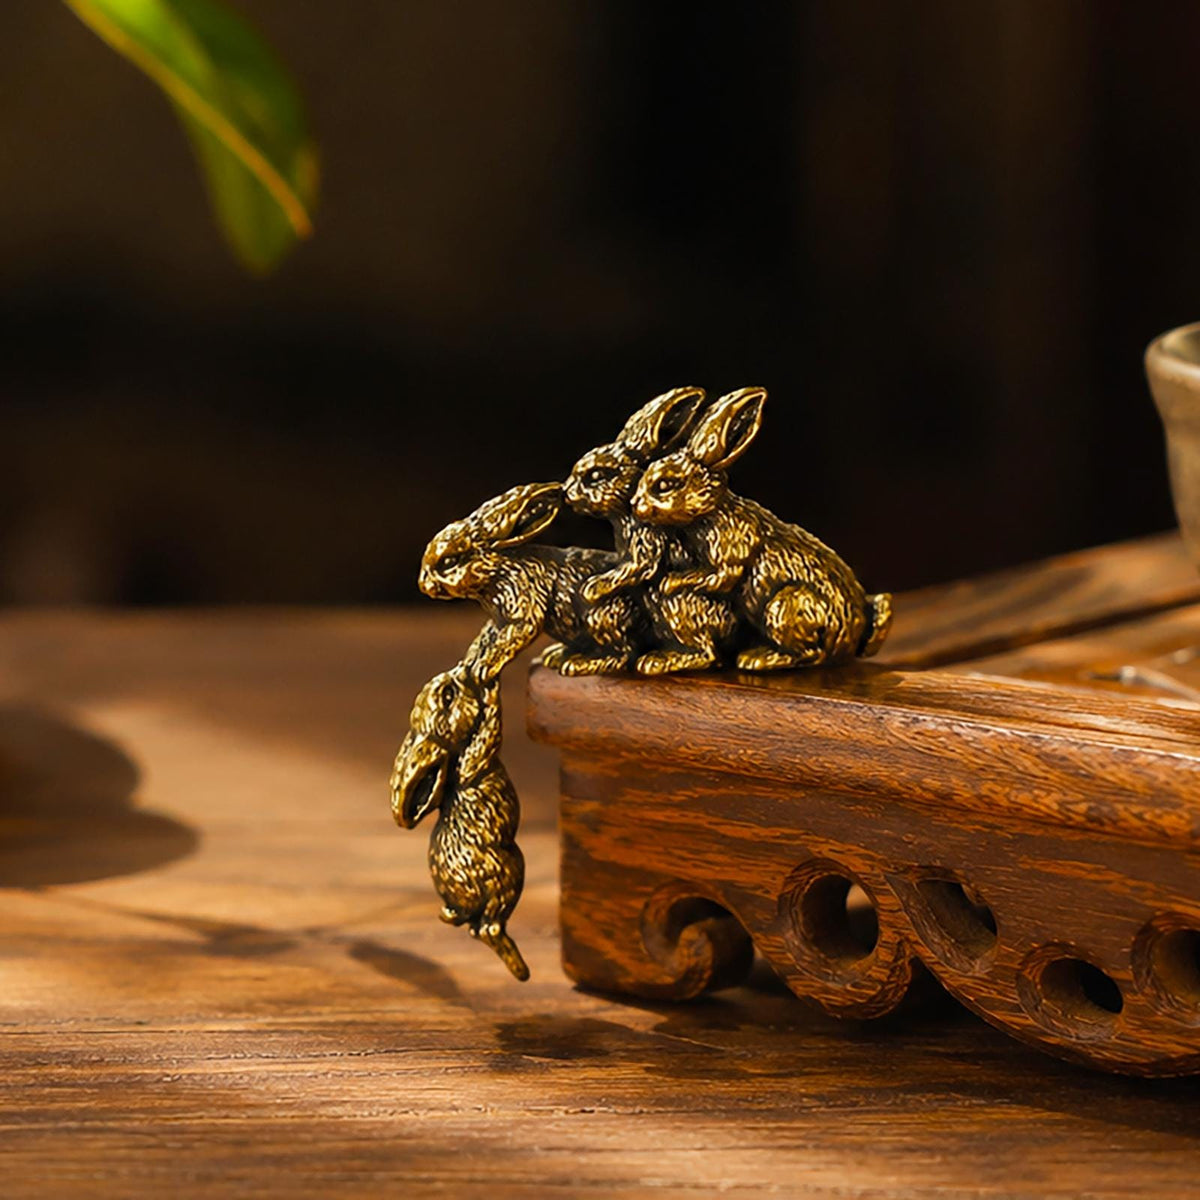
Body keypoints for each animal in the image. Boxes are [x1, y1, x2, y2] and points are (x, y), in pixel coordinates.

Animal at [391, 661, 529, 979]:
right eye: (448, 696)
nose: (462, 668)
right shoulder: (473, 760)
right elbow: (490, 725)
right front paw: (489, 686)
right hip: (509, 872)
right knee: (489, 927)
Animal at [419, 481, 642, 678]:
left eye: (449, 561)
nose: (423, 585)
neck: (497, 571)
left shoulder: (521, 606)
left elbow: (511, 637)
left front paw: (483, 668)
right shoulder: (498, 620)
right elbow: (486, 638)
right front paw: (471, 660)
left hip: (601, 616)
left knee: (623, 655)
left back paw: (579, 664)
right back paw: (557, 656)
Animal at [564, 387, 740, 672]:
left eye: (596, 476)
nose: (565, 492)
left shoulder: (646, 538)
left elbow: (638, 566)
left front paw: (592, 588)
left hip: (672, 605)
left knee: (705, 653)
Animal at [630, 387, 893, 672]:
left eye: (666, 484)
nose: (635, 505)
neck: (712, 512)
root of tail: (850, 635)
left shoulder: (731, 549)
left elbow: (717, 577)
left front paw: (670, 582)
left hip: (786, 607)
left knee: (811, 653)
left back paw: (757, 658)